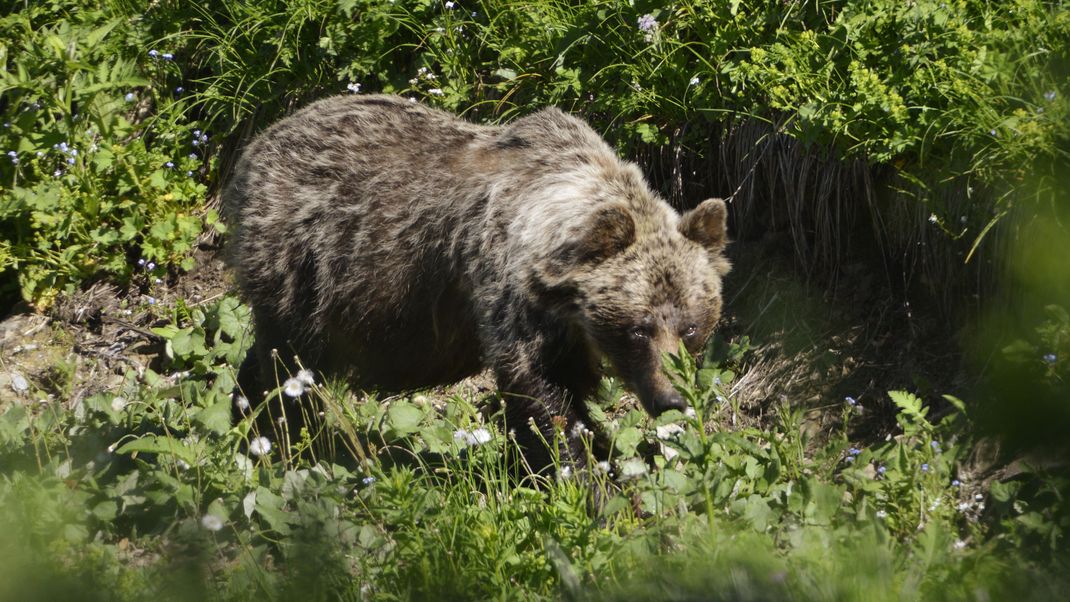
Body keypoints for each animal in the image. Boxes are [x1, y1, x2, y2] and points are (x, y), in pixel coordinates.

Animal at [222, 94, 731, 470]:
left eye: (690, 326)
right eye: (638, 328)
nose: (671, 398)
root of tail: (256, 145)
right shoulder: (509, 293)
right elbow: (543, 395)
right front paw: (584, 475)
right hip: (305, 265)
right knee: (287, 363)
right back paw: (278, 436)